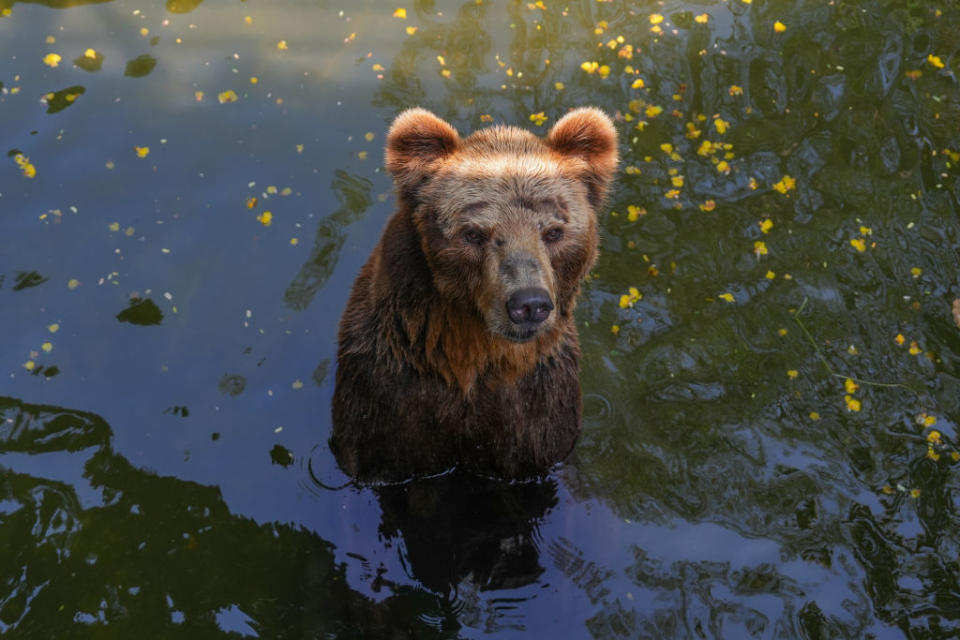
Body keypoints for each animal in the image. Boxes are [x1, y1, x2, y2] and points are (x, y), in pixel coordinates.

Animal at [328, 107, 616, 482]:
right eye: (474, 234)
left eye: (554, 231)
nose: (529, 304)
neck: (473, 357)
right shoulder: (388, 397)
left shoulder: (539, 407)